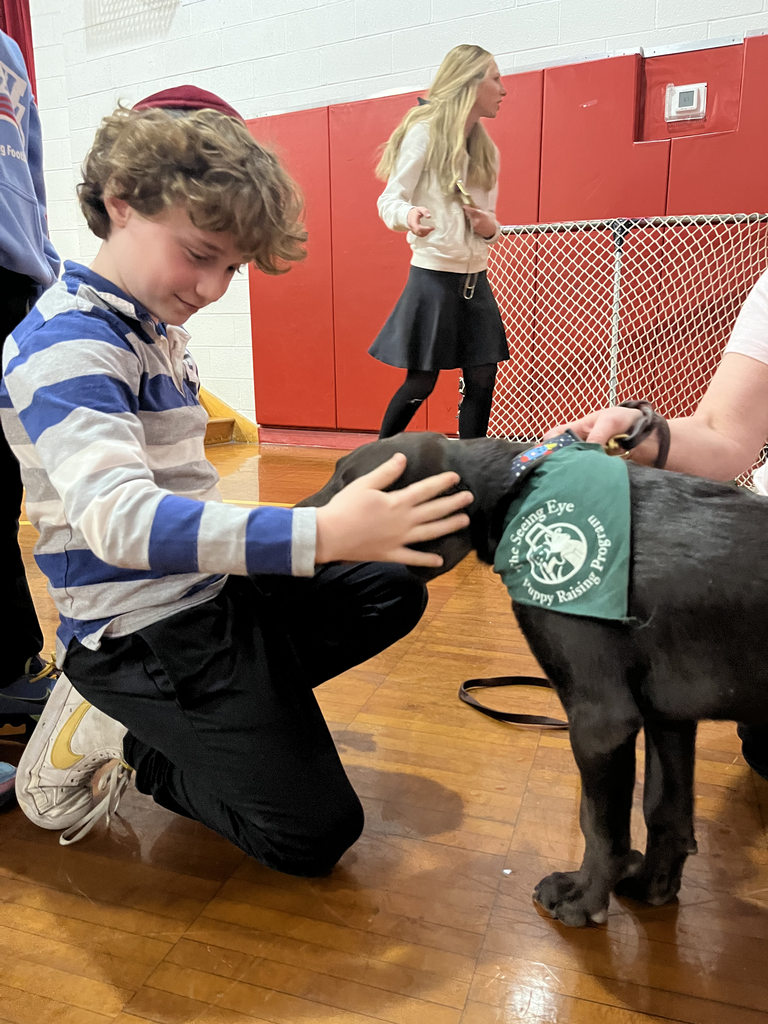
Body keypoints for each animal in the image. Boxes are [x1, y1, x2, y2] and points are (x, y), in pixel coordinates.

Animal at [300, 431, 768, 927]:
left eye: (354, 486)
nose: (293, 517)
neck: (516, 489)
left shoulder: (602, 717)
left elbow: (598, 825)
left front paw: (583, 898)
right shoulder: (668, 715)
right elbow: (664, 811)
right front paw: (652, 887)